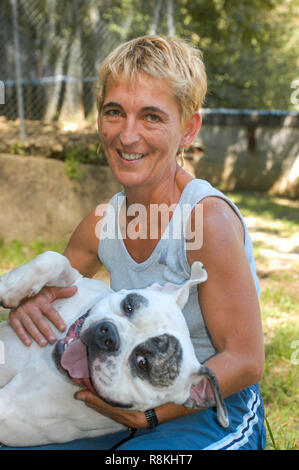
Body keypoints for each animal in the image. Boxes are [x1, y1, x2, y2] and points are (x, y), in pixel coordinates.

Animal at [0, 252, 227, 446]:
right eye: (129, 307)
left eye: (143, 363)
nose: (108, 335)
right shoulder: (76, 283)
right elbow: (54, 259)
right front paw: (7, 289)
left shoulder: (11, 410)